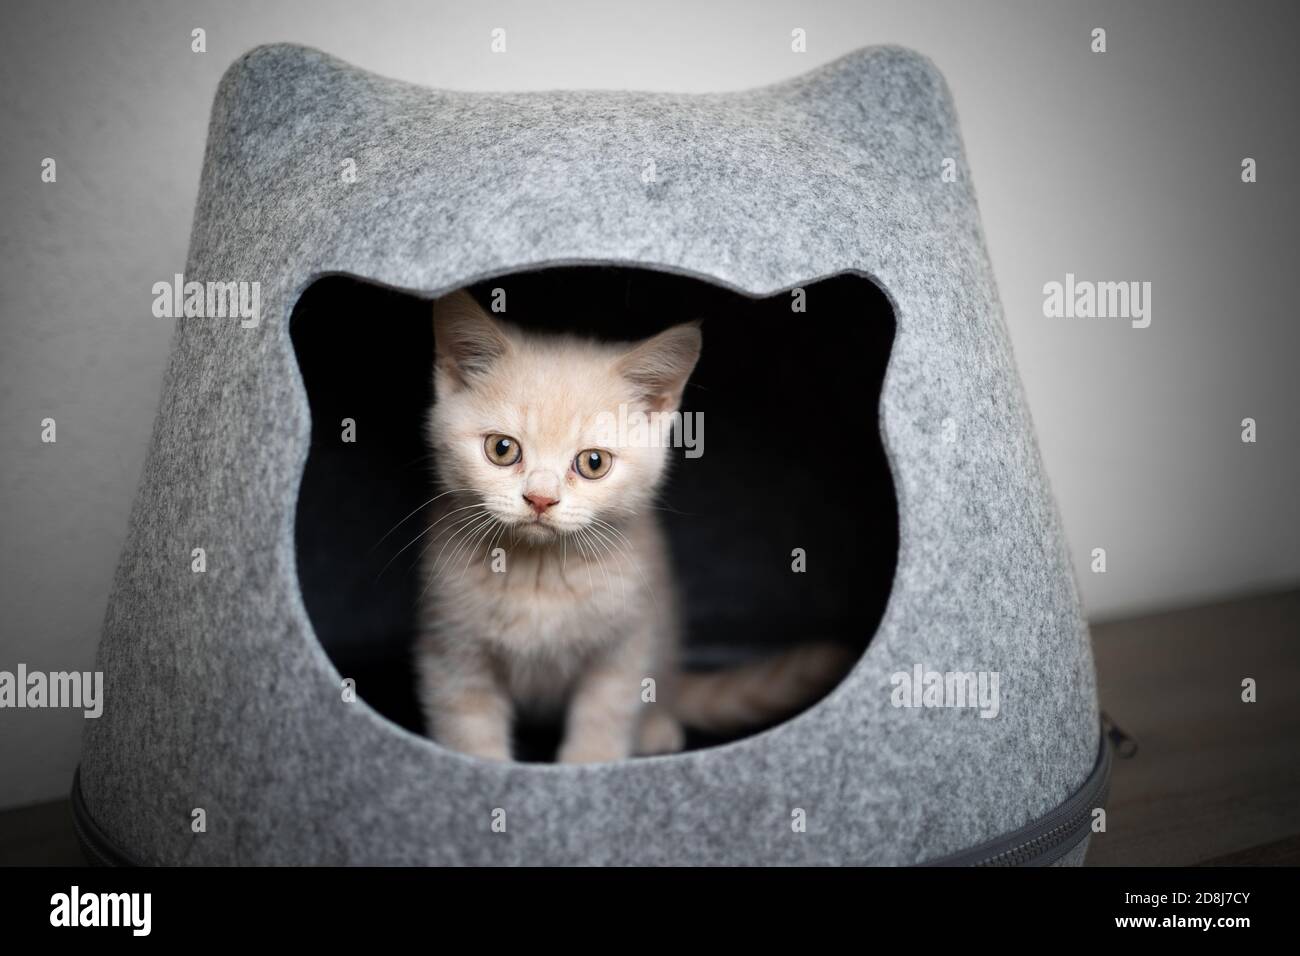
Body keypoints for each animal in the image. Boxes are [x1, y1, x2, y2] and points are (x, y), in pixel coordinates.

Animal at [410, 291, 847, 764]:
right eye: (502, 449)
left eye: (593, 462)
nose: (541, 499)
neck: (539, 575)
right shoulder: (452, 651)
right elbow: (469, 732)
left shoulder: (626, 643)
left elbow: (605, 715)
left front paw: (589, 765)